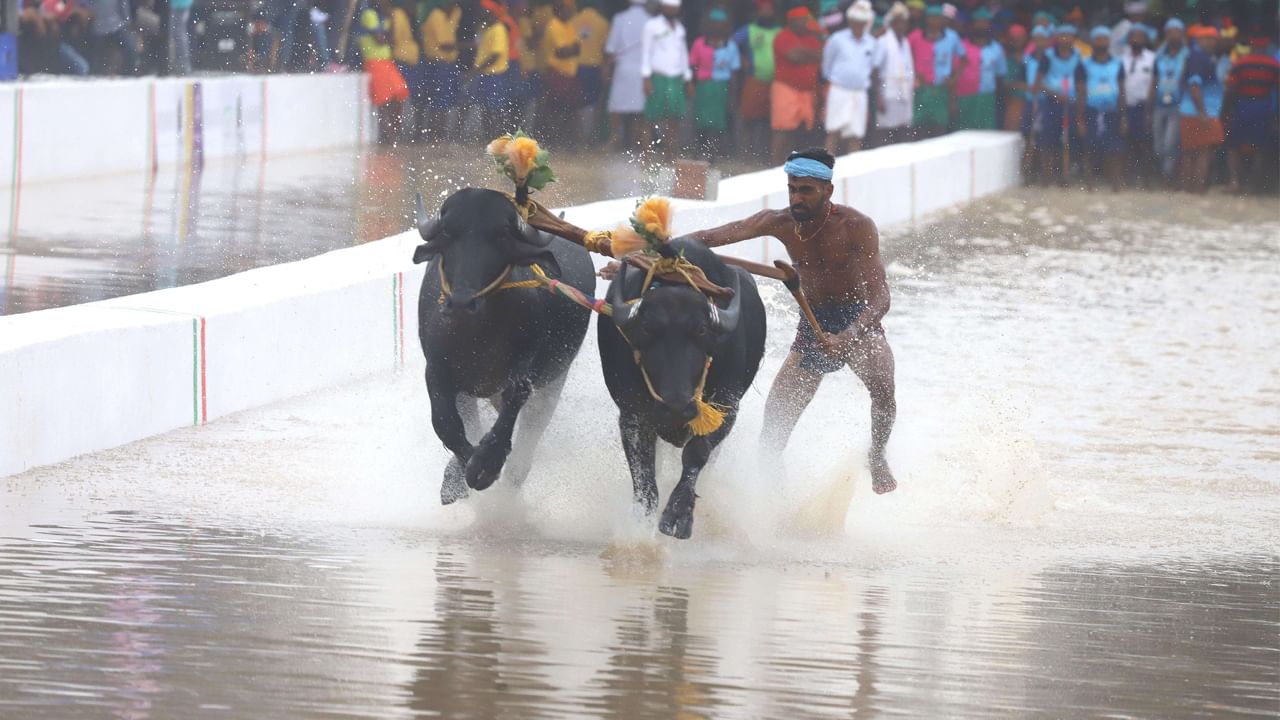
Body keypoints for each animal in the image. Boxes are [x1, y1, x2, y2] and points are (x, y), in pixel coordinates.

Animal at [409, 188, 593, 502]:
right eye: (448, 231)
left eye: (501, 235)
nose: (462, 303)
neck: (477, 335)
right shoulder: (436, 370)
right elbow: (445, 423)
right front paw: (459, 475)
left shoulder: (524, 370)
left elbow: (510, 408)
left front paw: (485, 465)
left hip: (553, 383)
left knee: (528, 442)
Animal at [596, 238, 762, 535]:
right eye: (647, 329)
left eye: (701, 330)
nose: (676, 408)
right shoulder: (632, 415)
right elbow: (642, 469)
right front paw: (641, 523)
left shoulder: (726, 408)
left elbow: (697, 453)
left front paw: (678, 515)